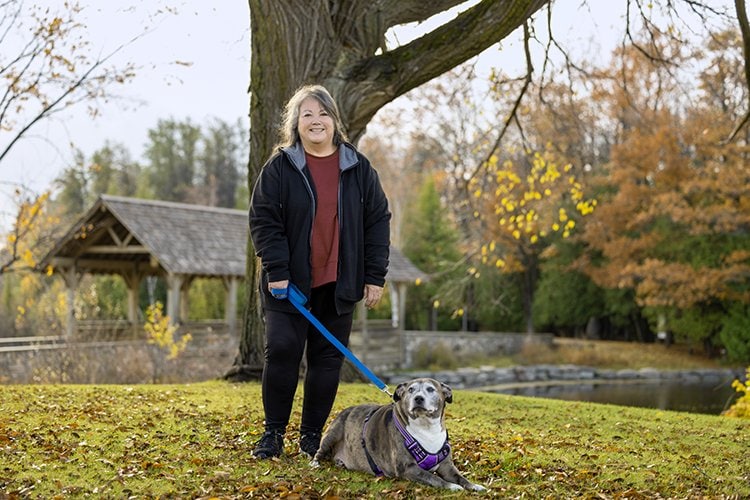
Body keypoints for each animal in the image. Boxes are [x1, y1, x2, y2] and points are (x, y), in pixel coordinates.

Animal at [312, 376, 488, 490]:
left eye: (431, 389)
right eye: (410, 389)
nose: (418, 398)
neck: (425, 426)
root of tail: (344, 410)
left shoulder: (446, 466)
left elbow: (460, 477)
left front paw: (474, 486)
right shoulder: (407, 468)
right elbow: (433, 478)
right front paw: (452, 486)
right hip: (333, 433)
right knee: (319, 451)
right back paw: (315, 463)